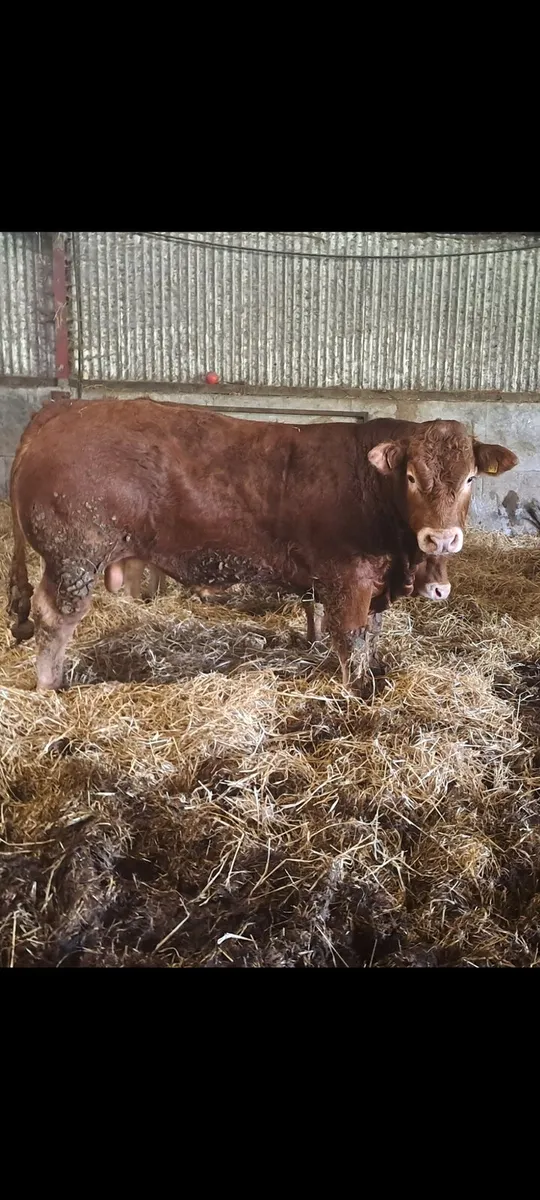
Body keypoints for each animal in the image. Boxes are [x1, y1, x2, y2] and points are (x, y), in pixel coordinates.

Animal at [7, 397, 517, 691]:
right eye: (411, 476)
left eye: (470, 478)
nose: (441, 538)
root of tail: (65, 411)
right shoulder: (346, 579)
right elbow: (351, 641)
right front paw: (358, 692)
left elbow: (369, 637)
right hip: (73, 557)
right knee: (54, 619)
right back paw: (50, 687)